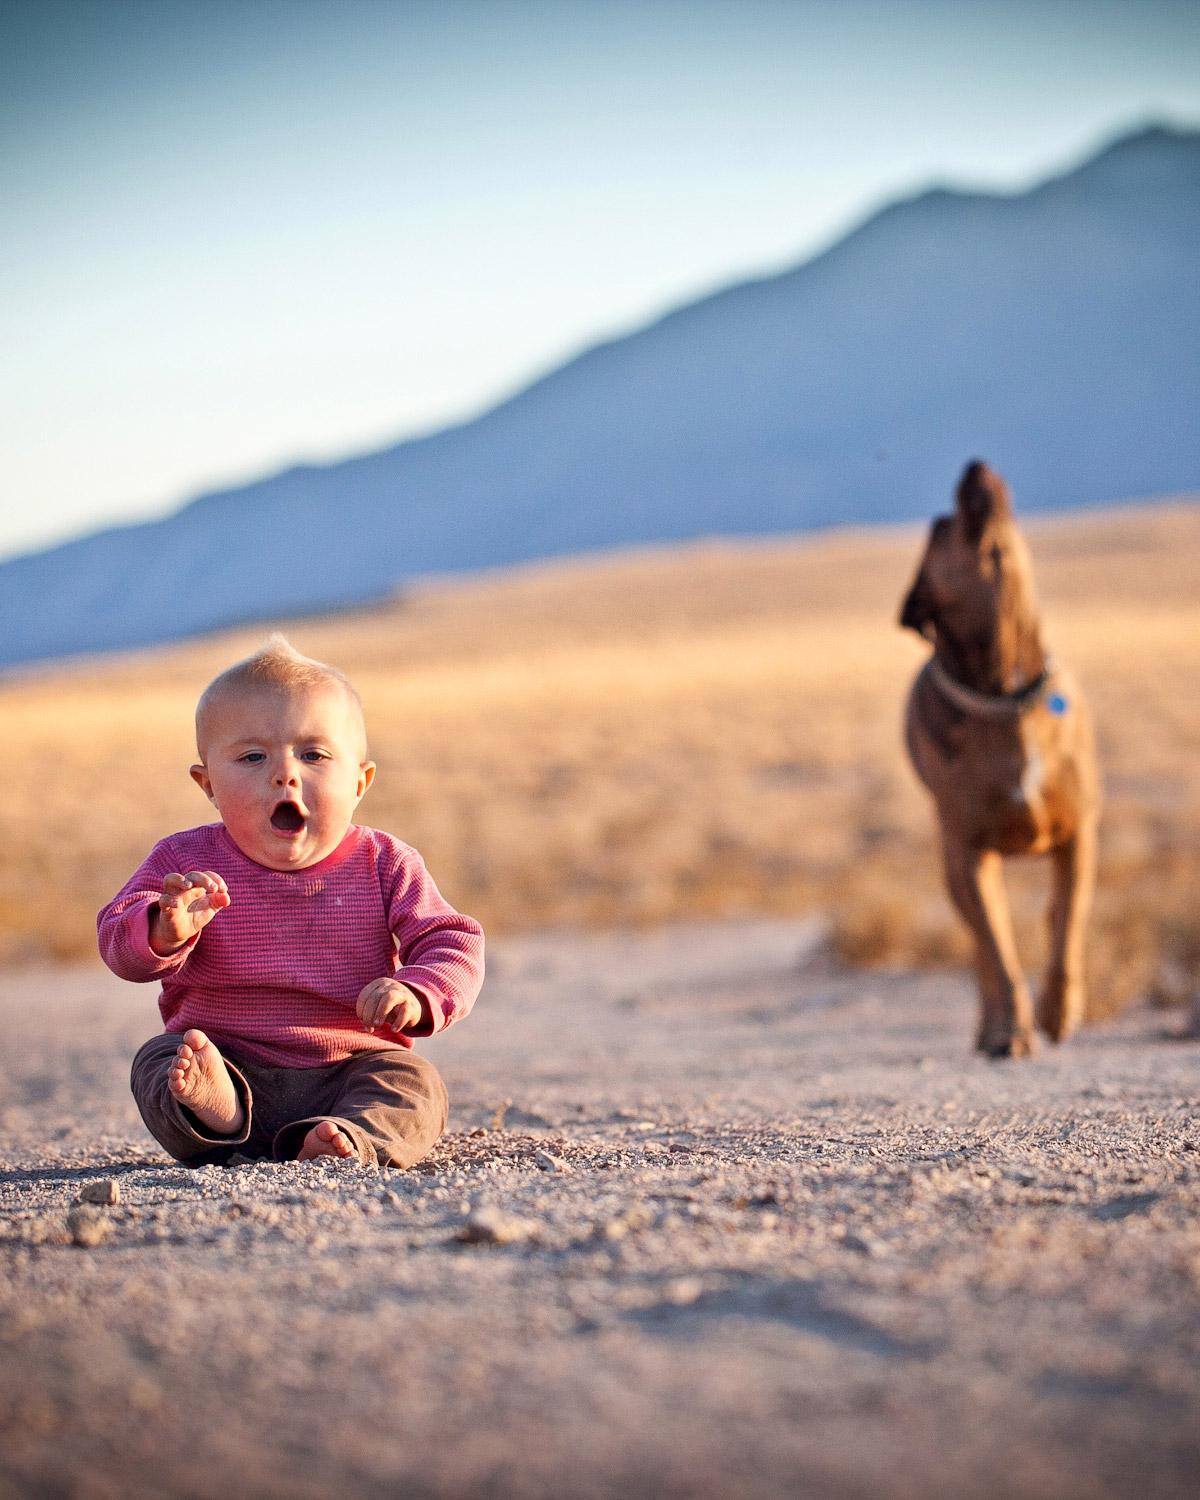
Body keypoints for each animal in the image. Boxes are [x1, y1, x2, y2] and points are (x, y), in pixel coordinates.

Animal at [900, 456, 1098, 1056]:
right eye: (940, 527)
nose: (974, 463)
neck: (1005, 691)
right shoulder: (969, 853)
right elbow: (998, 954)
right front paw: (1010, 1030)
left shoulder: (1078, 834)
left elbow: (1066, 928)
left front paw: (1059, 1010)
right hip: (954, 866)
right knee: (986, 951)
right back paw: (990, 1028)